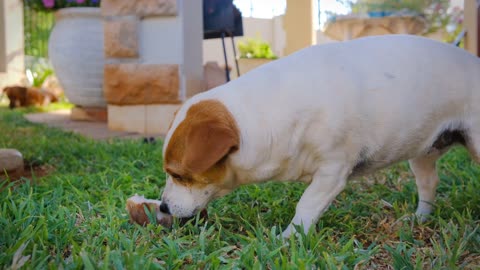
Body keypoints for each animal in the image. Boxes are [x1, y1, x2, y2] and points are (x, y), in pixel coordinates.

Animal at [158, 34, 480, 237]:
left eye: (179, 175)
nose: (162, 206)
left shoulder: (332, 172)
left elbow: (306, 206)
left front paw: (287, 239)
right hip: (423, 153)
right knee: (428, 185)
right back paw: (419, 218)